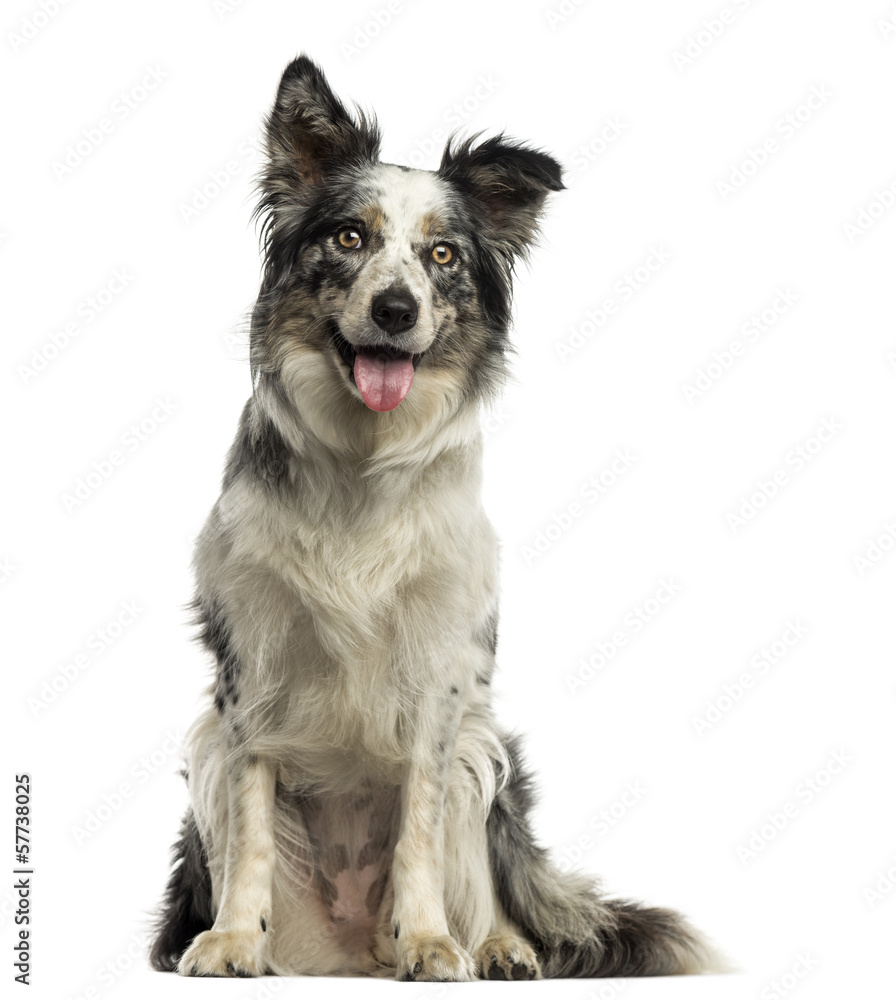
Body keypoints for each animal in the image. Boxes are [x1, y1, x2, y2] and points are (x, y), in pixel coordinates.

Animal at [149, 52, 720, 976]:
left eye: (442, 255)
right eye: (350, 238)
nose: (396, 310)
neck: (362, 461)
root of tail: (349, 954)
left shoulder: (441, 673)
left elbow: (418, 824)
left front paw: (427, 941)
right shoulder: (248, 669)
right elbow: (252, 827)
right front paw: (232, 939)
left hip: (487, 753)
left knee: (482, 872)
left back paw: (497, 947)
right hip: (205, 749)